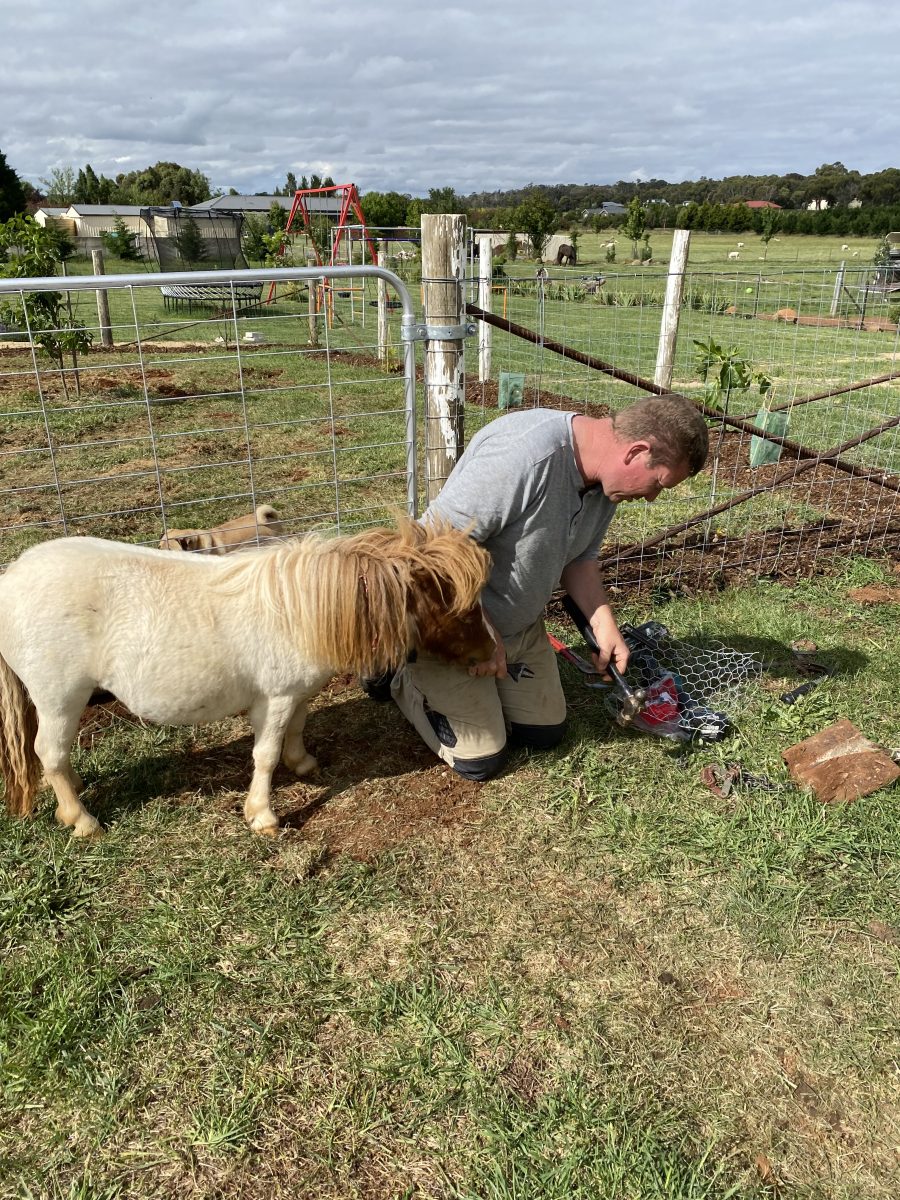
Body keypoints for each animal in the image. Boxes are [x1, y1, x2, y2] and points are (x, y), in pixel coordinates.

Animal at [0, 520, 494, 840]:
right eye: (457, 605)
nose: (491, 658)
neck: (303, 610)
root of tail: (10, 581)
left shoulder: (295, 695)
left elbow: (296, 730)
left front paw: (303, 763)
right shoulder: (274, 699)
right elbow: (265, 755)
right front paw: (262, 815)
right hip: (60, 698)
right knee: (49, 752)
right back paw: (81, 820)